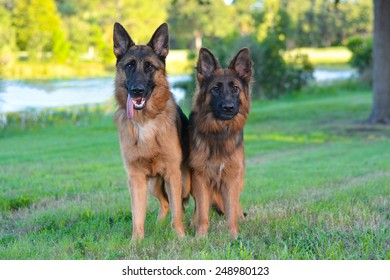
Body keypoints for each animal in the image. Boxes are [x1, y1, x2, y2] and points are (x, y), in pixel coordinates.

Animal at [112, 22, 191, 241]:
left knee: (180, 205)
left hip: (183, 182)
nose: (137, 91)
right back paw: (158, 226)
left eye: (149, 67)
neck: (145, 122)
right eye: (129, 66)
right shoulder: (136, 178)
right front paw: (136, 242)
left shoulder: (173, 174)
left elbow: (177, 213)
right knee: (164, 204)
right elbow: (137, 216)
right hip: (153, 185)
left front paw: (181, 237)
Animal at [190, 47, 253, 238]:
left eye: (235, 88)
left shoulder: (231, 178)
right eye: (215, 89)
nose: (228, 107)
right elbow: (203, 212)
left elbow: (231, 209)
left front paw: (233, 235)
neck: (219, 134)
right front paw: (200, 237)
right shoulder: (200, 177)